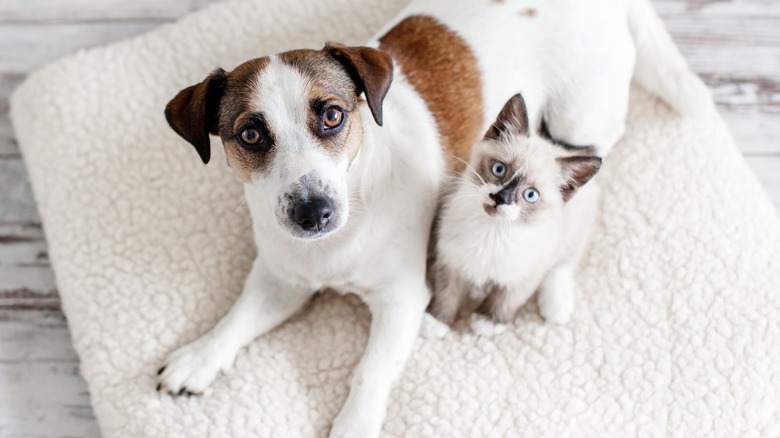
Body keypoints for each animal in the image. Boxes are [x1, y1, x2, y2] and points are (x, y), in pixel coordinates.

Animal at [426, 93, 604, 332]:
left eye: (530, 195)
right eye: (499, 169)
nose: (500, 198)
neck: (492, 232)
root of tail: (562, 148)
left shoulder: (525, 274)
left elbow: (506, 299)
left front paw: (488, 322)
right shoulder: (451, 259)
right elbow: (448, 292)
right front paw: (438, 320)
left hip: (573, 231)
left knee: (563, 265)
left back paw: (556, 307)